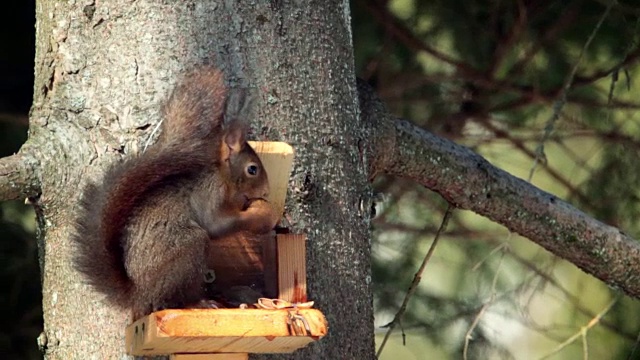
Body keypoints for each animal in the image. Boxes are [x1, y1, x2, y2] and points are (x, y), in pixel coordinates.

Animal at [72, 67, 278, 318]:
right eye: (252, 169)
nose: (266, 192)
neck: (222, 175)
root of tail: (138, 296)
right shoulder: (210, 193)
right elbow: (216, 224)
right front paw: (261, 216)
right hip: (188, 249)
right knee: (169, 299)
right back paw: (197, 303)